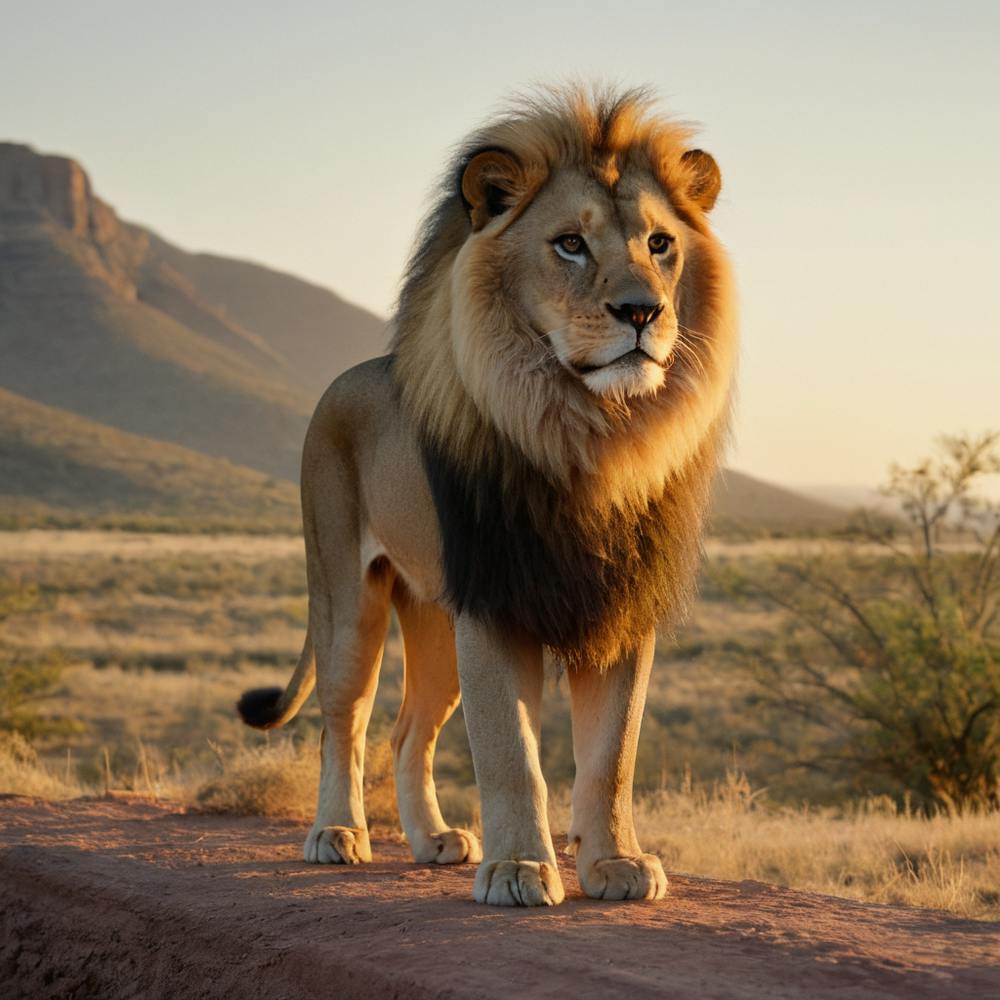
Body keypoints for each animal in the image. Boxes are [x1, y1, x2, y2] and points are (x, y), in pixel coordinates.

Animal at [238, 85, 737, 907]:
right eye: (570, 244)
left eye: (661, 244)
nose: (642, 313)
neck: (592, 434)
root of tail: (348, 378)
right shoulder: (497, 604)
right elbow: (512, 754)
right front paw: (519, 869)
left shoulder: (621, 609)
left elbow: (612, 758)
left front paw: (616, 864)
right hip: (349, 600)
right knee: (345, 720)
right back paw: (336, 834)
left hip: (437, 619)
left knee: (410, 731)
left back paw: (432, 839)